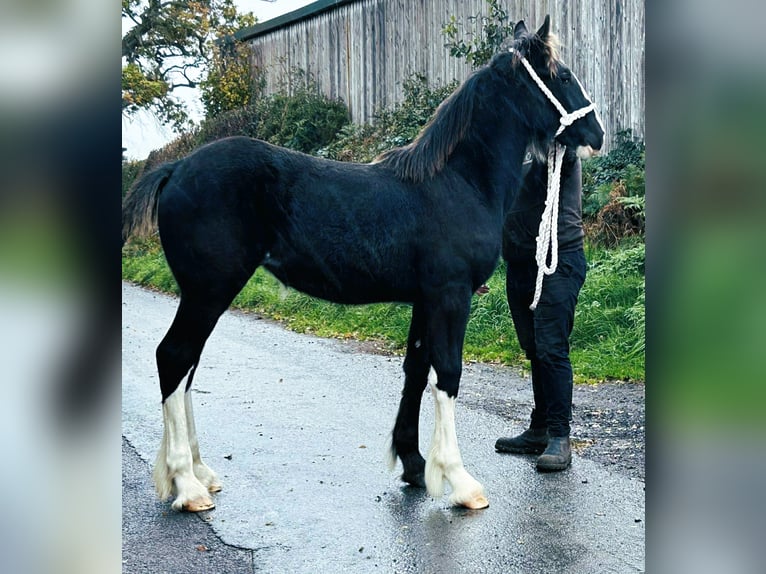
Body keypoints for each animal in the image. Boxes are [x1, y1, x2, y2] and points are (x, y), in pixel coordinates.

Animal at [122, 15, 604, 512]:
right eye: (563, 76)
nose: (596, 136)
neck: (458, 182)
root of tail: (176, 168)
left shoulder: (424, 299)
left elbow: (416, 371)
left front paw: (414, 466)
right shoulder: (450, 296)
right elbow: (448, 374)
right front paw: (460, 481)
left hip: (204, 295)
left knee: (187, 367)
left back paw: (200, 473)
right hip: (209, 292)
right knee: (174, 357)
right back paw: (187, 485)